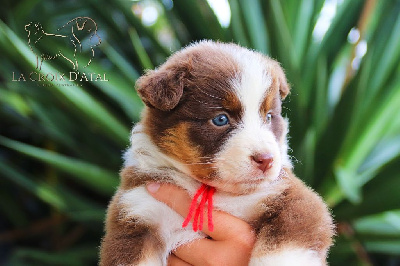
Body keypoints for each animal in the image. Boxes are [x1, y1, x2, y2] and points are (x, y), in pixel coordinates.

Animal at [100, 40, 334, 264]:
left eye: (268, 117)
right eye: (221, 119)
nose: (266, 160)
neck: (214, 192)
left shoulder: (293, 199)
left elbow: (282, 249)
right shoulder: (137, 212)